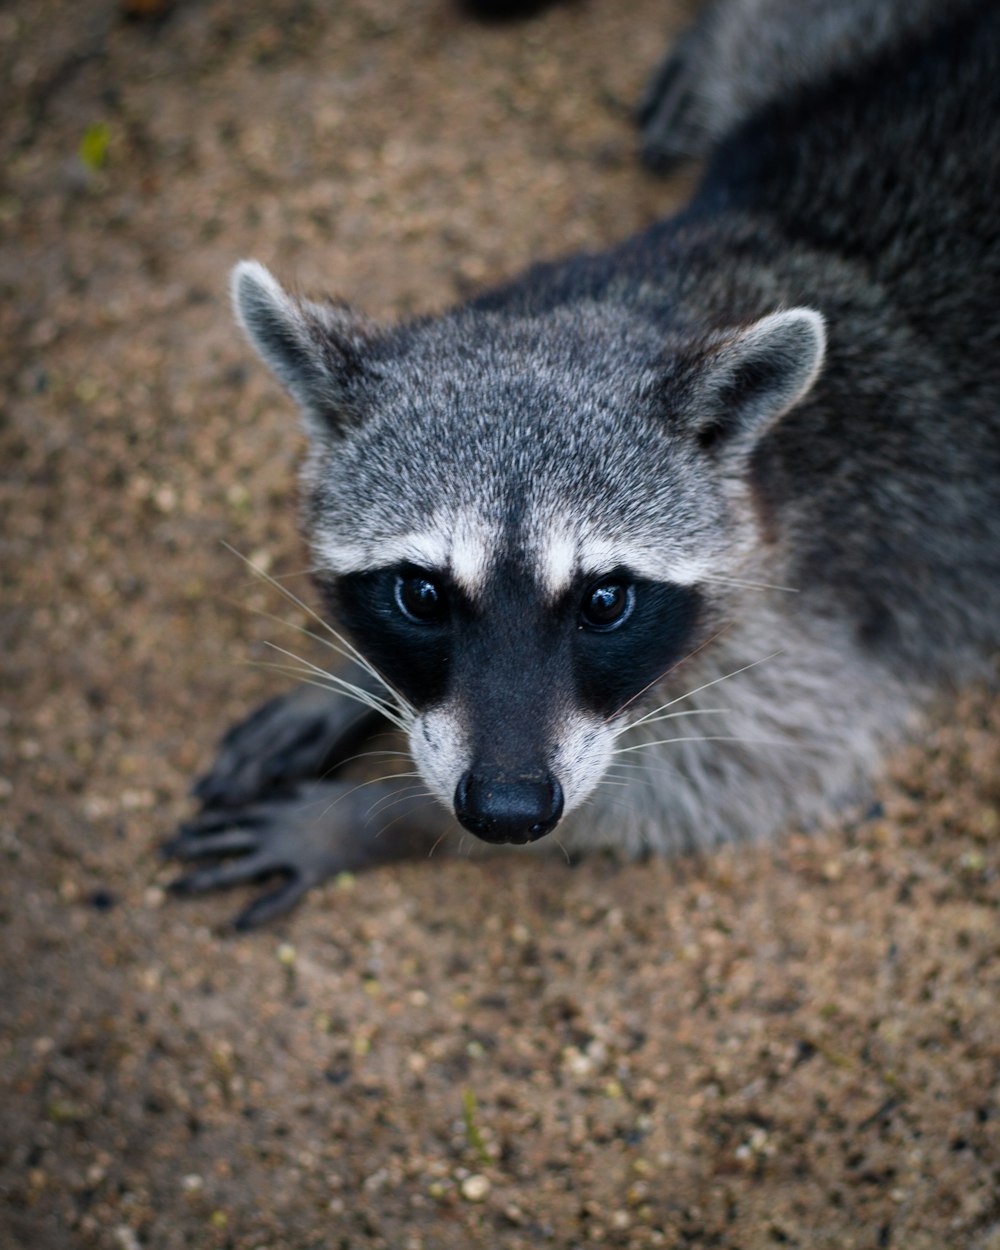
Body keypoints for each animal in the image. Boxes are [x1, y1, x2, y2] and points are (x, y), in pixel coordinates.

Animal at [167, 0, 1000, 930]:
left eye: (605, 601)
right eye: (421, 594)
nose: (506, 811)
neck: (663, 296)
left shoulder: (833, 606)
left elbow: (736, 768)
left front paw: (371, 818)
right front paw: (351, 679)